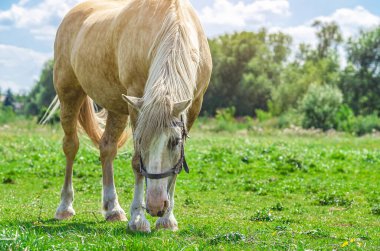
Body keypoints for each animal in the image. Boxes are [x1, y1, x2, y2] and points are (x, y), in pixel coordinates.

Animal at [44, 0, 212, 232]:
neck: (172, 24)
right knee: (71, 146)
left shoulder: (194, 105)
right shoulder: (137, 101)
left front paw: (167, 220)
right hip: (69, 94)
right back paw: (65, 207)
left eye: (175, 141)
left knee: (107, 148)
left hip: (116, 107)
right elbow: (136, 163)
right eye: (140, 140)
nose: (156, 206)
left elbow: (177, 165)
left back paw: (113, 209)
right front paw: (138, 219)